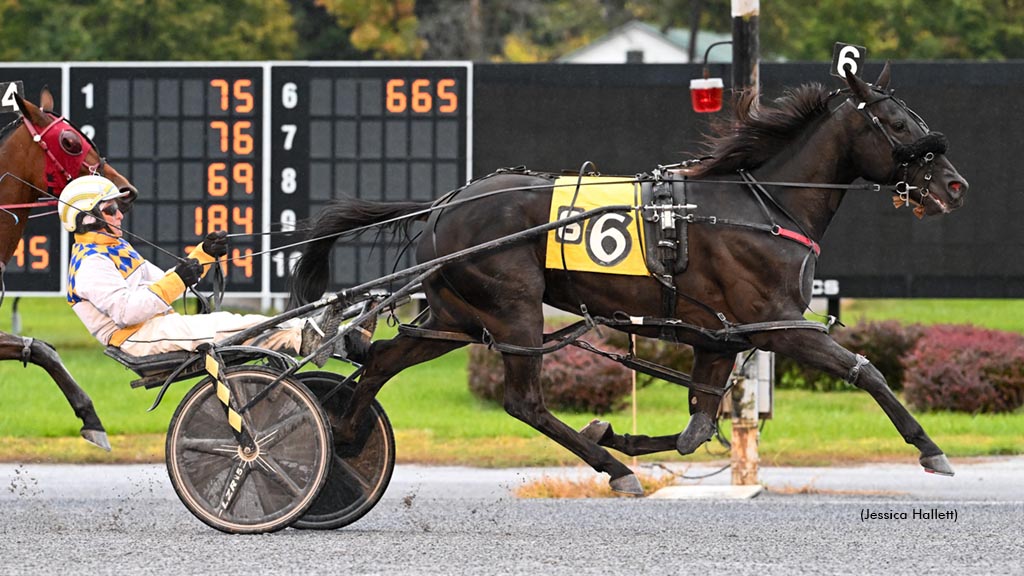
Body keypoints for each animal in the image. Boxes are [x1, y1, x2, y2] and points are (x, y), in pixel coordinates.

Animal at [290, 63, 966, 494]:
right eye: (897, 123)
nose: (954, 184)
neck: (762, 205)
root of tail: (444, 203)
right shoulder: (775, 322)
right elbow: (866, 372)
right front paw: (930, 449)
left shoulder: (720, 336)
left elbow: (697, 429)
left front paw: (619, 432)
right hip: (512, 309)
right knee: (524, 401)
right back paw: (613, 472)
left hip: (456, 317)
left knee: (381, 359)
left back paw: (344, 436)